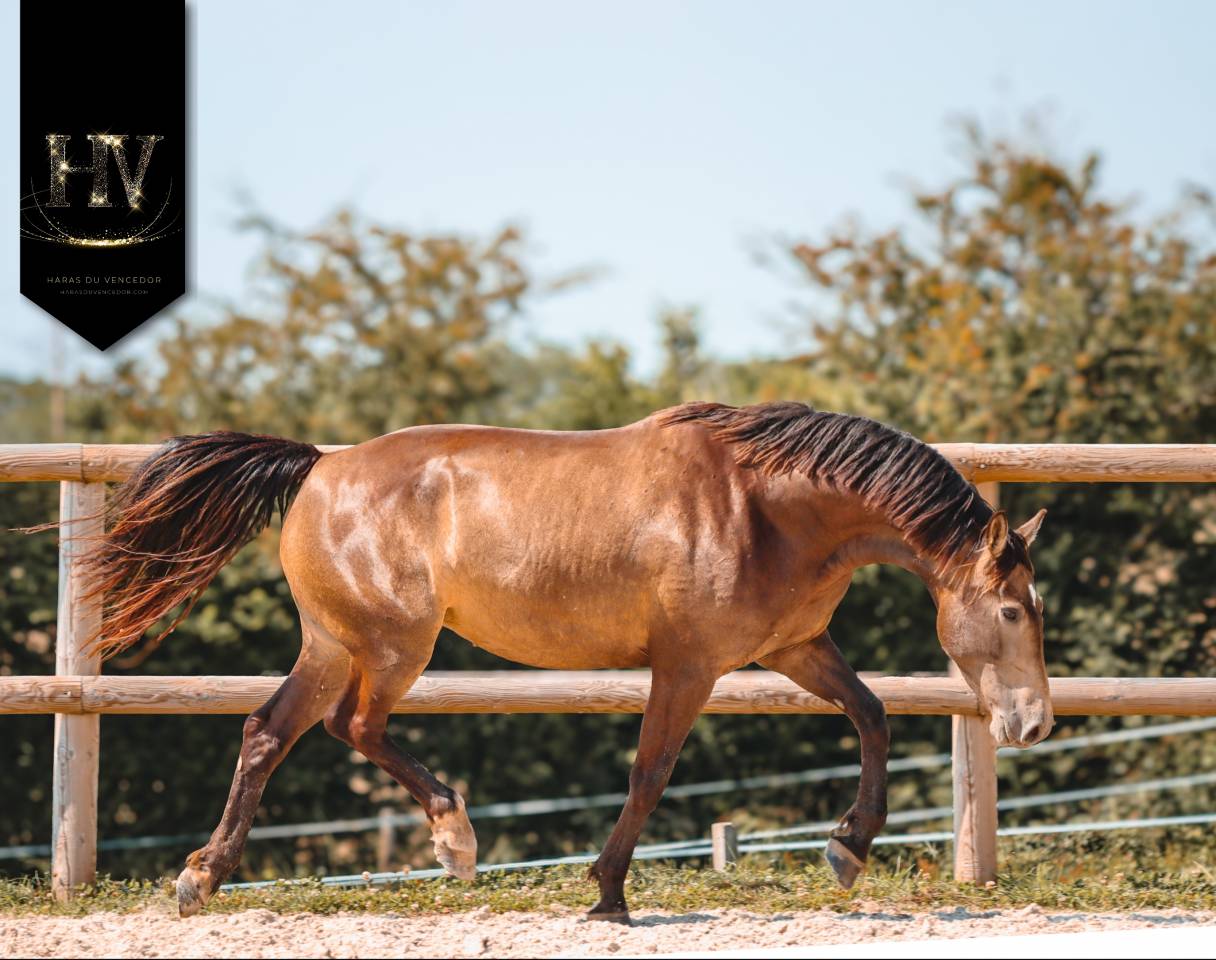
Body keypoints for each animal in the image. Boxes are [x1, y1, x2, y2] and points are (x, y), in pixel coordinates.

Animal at [75, 400, 1052, 921]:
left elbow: (874, 715)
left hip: (333, 640)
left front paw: (847, 850)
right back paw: (454, 838)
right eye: (1010, 609)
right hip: (391, 644)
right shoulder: (688, 665)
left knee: (269, 732)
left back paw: (201, 876)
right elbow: (651, 772)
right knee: (354, 723)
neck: (763, 508)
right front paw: (608, 892)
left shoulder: (794, 649)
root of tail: (320, 464)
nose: (1034, 723)